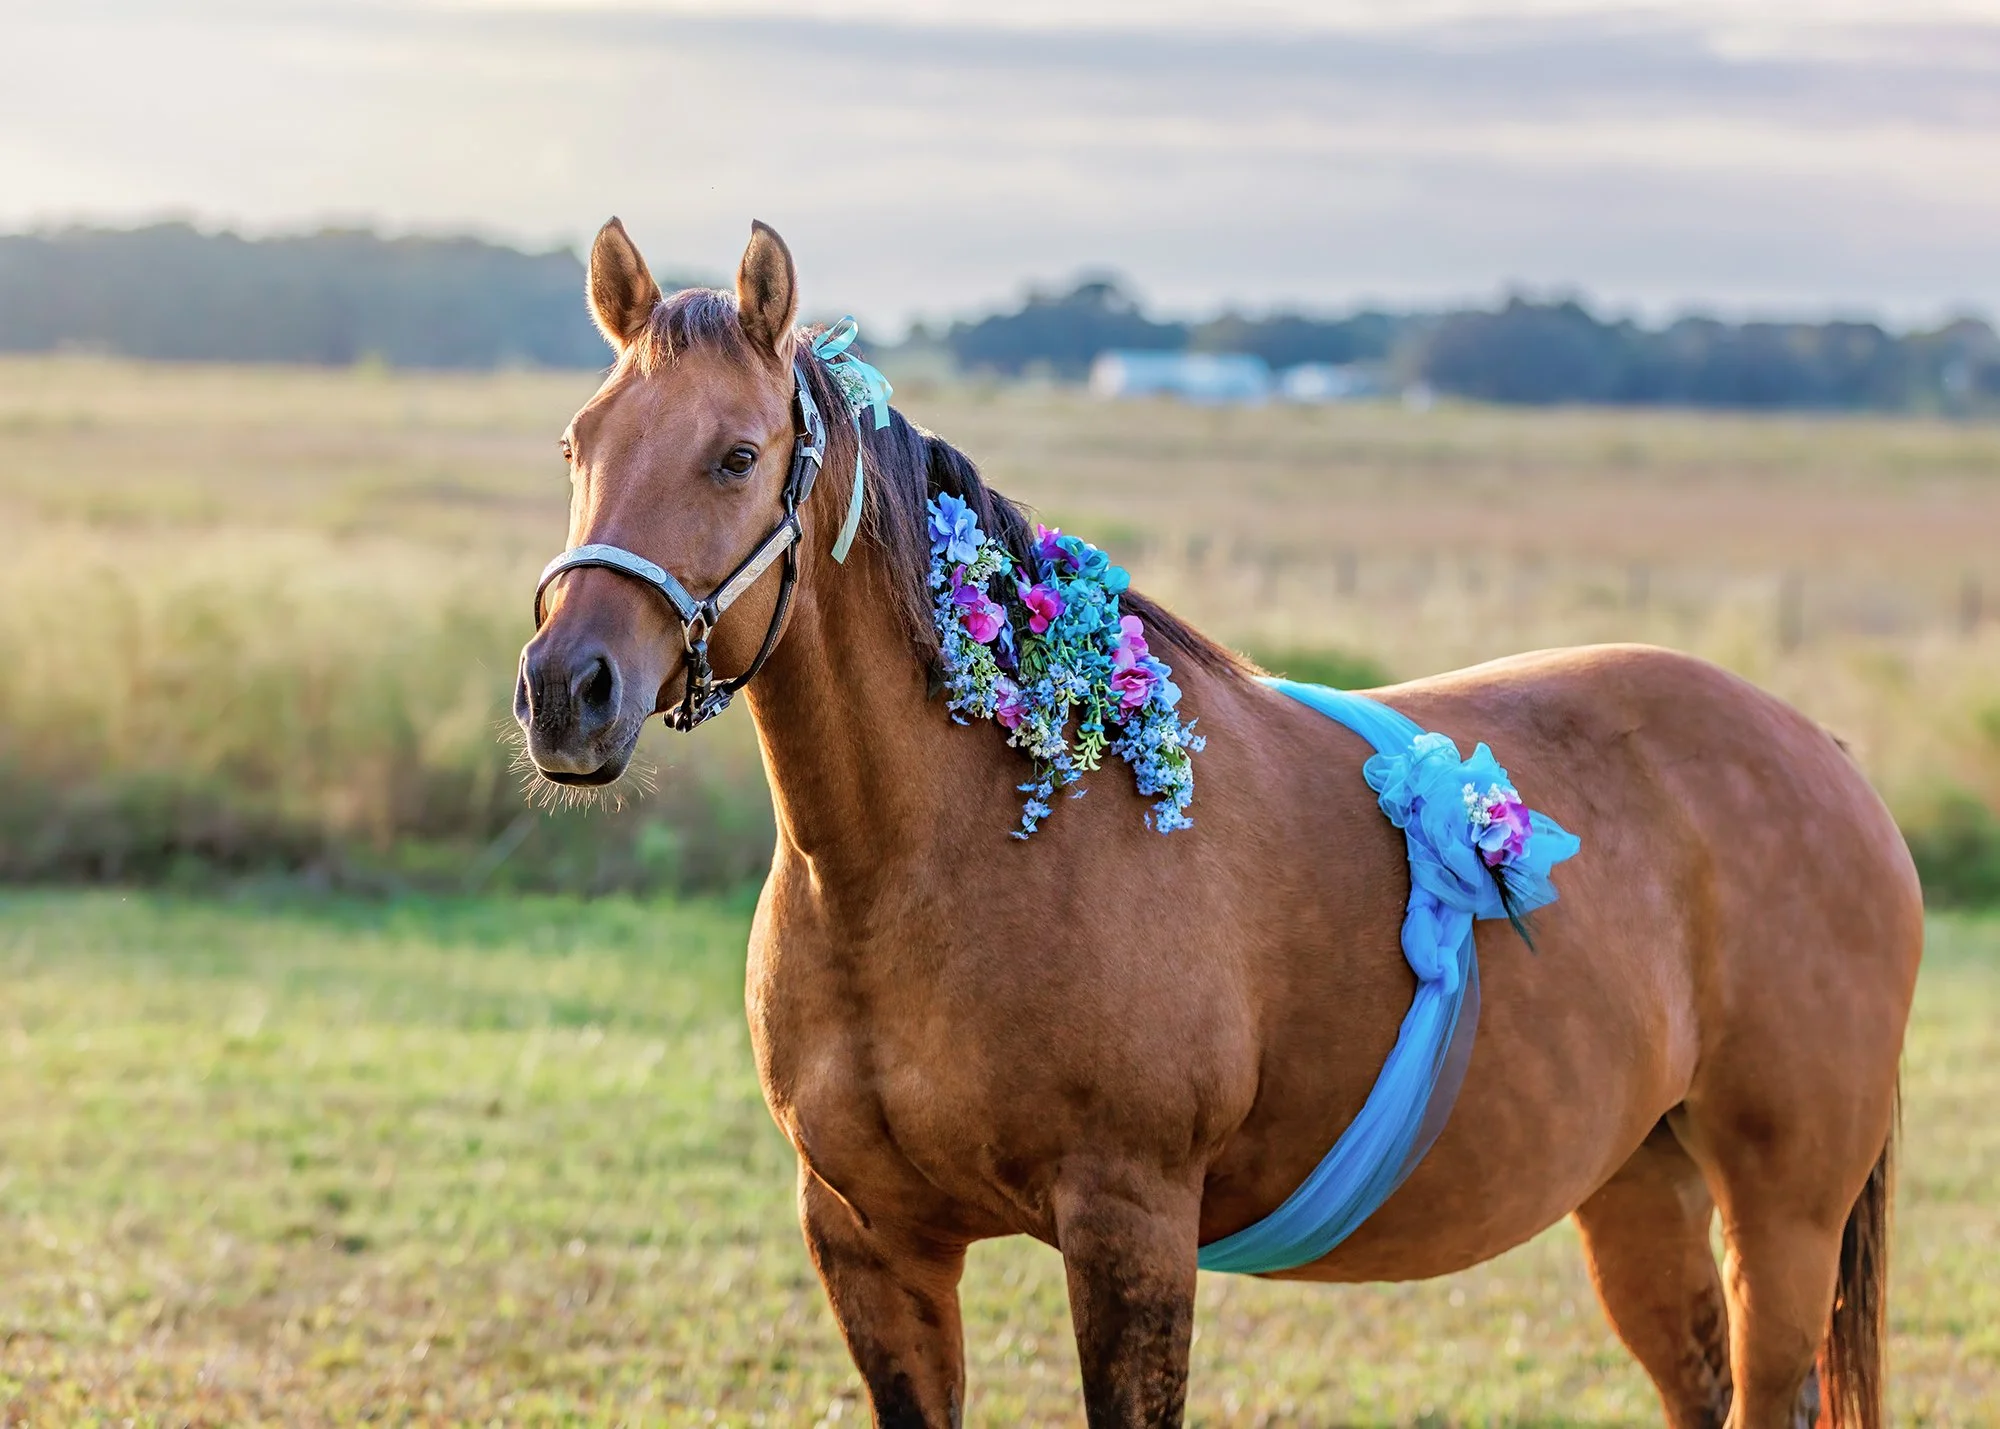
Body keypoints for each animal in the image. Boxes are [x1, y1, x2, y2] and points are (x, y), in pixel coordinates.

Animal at [514, 218, 1922, 1429]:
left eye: (736, 455)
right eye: (578, 446)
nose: (565, 690)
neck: (936, 862)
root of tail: (1825, 759)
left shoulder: (1130, 1229)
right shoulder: (870, 1241)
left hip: (1780, 1216)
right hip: (1638, 1188)